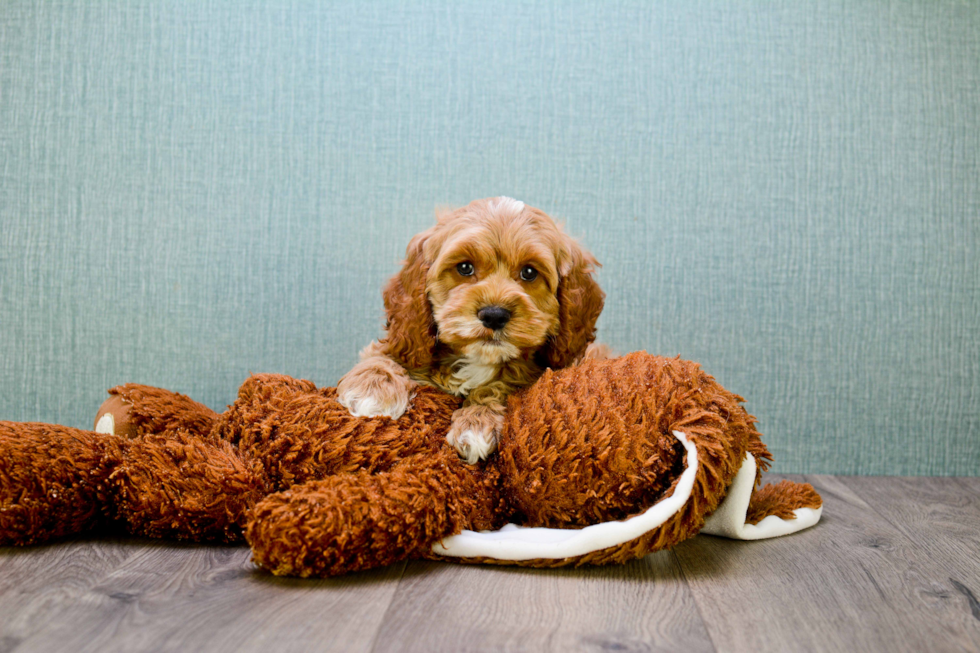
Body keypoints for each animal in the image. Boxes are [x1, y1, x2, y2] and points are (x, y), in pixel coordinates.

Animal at [340, 196, 608, 460]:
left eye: (529, 272)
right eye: (465, 268)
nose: (494, 315)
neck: (478, 358)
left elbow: (501, 384)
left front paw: (476, 422)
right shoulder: (406, 340)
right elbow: (383, 355)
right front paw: (371, 389)